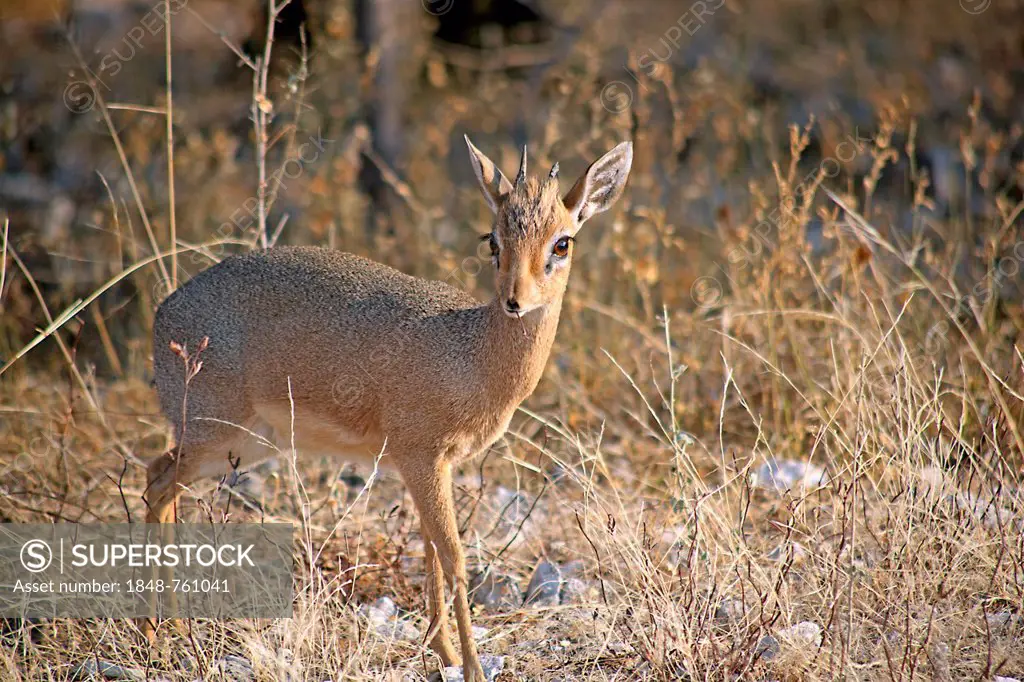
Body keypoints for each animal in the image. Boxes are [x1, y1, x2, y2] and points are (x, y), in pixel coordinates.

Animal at [140, 135, 626, 675]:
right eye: (493, 240)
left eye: (563, 242)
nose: (515, 301)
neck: (472, 353)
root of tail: (163, 312)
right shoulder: (420, 456)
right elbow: (454, 557)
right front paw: (473, 666)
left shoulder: (434, 464)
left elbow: (432, 552)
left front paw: (443, 652)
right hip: (214, 432)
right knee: (156, 482)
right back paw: (157, 634)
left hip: (245, 445)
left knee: (162, 484)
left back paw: (167, 628)